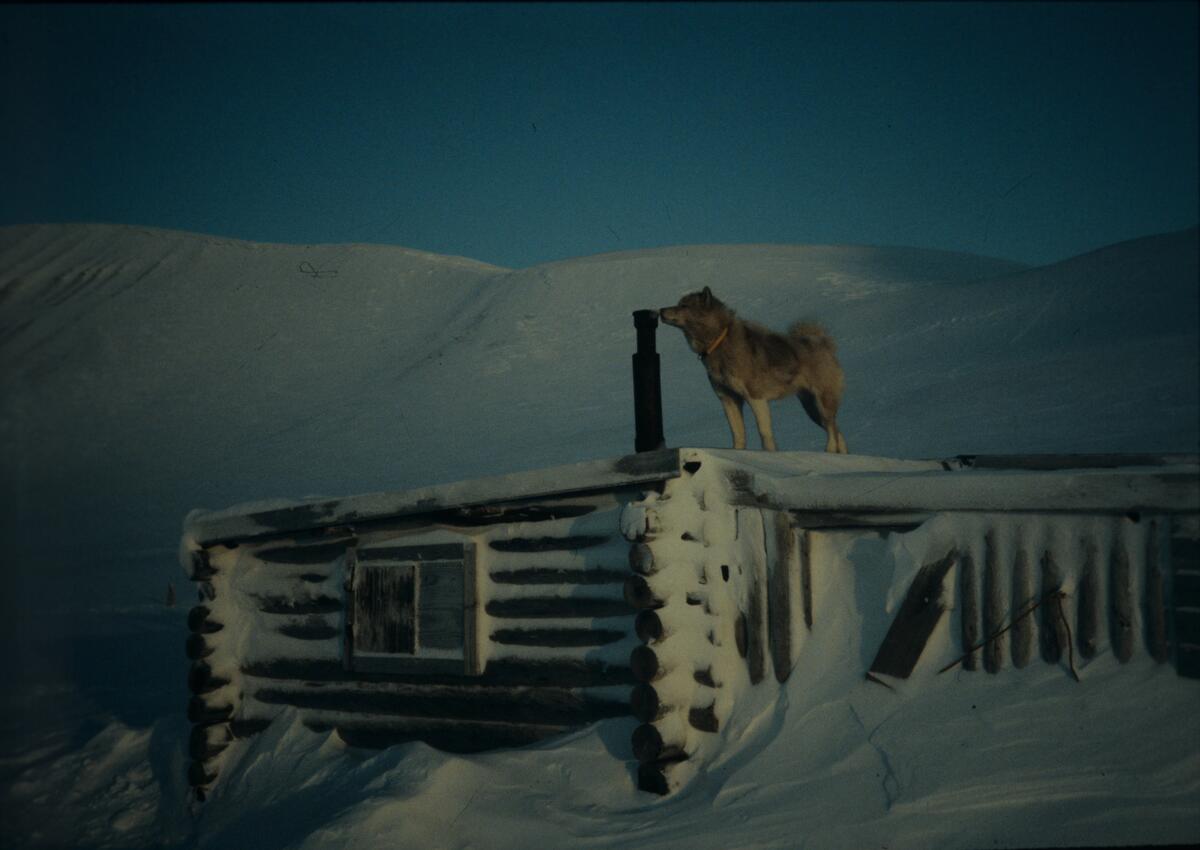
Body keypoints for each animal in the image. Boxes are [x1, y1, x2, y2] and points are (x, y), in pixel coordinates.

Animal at [662, 286, 849, 451]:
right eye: (678, 303)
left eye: (684, 306)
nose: (661, 310)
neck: (719, 341)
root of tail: (824, 344)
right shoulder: (728, 399)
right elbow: (738, 435)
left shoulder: (756, 397)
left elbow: (764, 433)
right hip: (811, 408)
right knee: (838, 431)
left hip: (823, 403)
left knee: (832, 429)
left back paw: (829, 451)